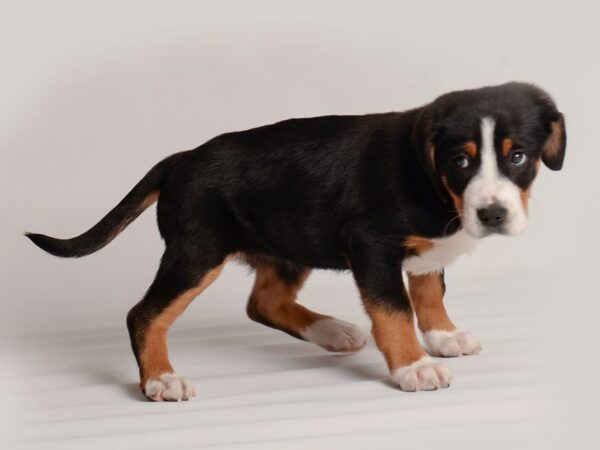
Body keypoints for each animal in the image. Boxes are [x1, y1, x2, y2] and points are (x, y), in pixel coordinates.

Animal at [25, 81, 564, 400]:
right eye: (461, 161)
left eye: (518, 157)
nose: (492, 214)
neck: (432, 178)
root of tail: (180, 159)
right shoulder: (372, 246)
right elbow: (394, 310)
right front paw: (414, 365)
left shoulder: (423, 252)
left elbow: (430, 290)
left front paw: (443, 336)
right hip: (197, 251)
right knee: (145, 314)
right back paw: (161, 378)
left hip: (288, 241)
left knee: (263, 302)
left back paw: (332, 331)